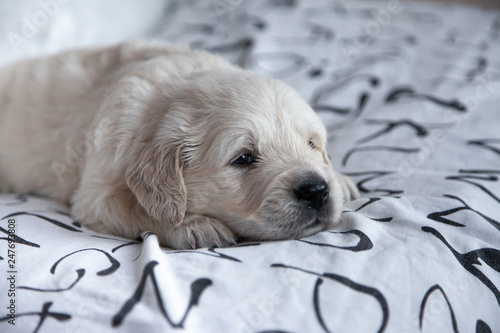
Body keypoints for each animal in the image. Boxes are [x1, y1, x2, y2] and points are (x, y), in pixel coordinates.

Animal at [0, 40, 360, 248]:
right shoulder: (96, 193)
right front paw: (196, 226)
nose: (316, 190)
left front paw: (342, 180)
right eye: (243, 158)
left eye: (312, 144)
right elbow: (135, 206)